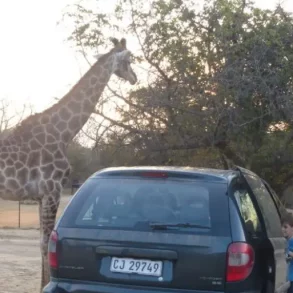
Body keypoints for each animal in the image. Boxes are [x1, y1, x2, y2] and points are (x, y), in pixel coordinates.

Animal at [0, 37, 137, 290]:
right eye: (129, 59)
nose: (135, 78)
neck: (64, 132)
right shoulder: (52, 190)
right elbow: (46, 243)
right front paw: (44, 287)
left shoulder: (41, 195)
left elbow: (42, 243)